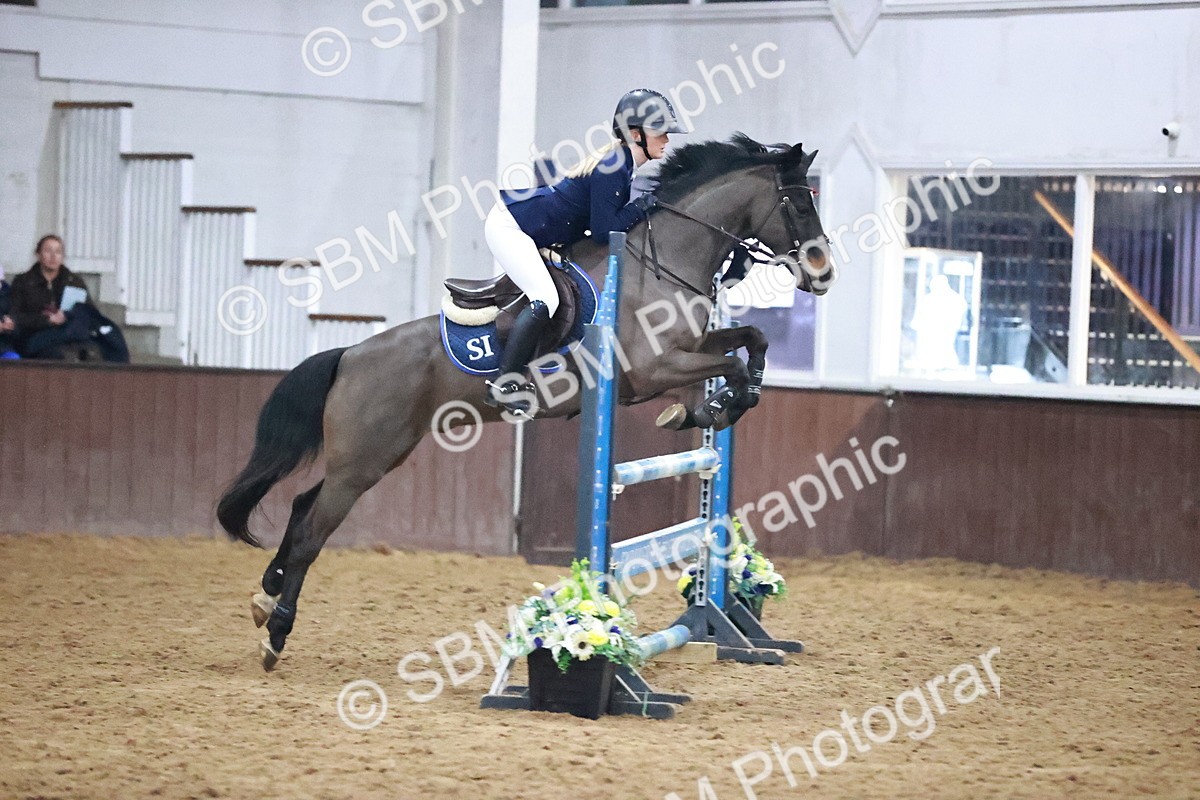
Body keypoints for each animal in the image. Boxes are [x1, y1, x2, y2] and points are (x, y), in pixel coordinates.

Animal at [217, 134, 832, 669]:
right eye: (800, 204)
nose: (823, 273)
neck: (662, 262)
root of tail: (350, 355)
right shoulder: (653, 368)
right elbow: (731, 363)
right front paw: (715, 405)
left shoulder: (688, 351)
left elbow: (751, 340)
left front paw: (711, 406)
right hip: (363, 461)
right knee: (313, 532)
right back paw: (276, 633)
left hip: (376, 454)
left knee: (303, 507)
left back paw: (265, 597)